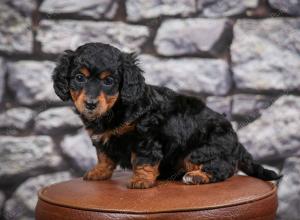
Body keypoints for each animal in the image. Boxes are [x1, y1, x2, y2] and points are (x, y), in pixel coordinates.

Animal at [52, 43, 282, 189]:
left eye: (108, 81)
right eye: (79, 78)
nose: (90, 104)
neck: (115, 109)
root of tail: (235, 140)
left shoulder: (145, 136)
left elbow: (143, 160)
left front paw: (141, 181)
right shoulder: (101, 138)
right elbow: (104, 156)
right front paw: (98, 172)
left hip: (201, 151)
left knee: (223, 169)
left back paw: (196, 177)